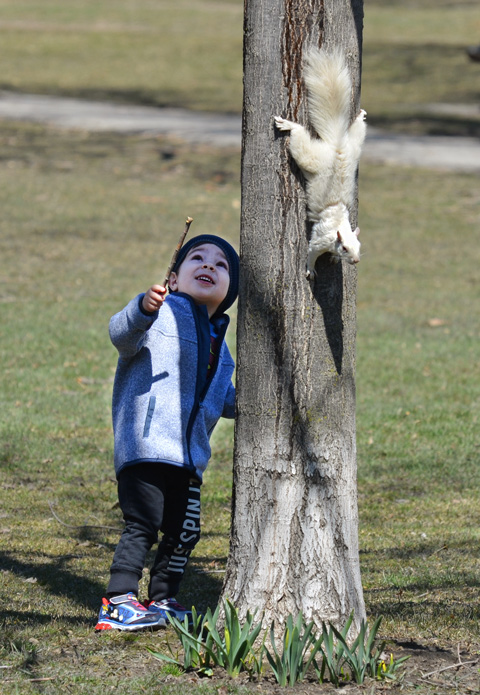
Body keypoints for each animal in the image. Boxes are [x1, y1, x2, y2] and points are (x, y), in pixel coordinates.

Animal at [274, 48, 367, 277]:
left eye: (359, 246)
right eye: (345, 248)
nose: (356, 260)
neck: (339, 225)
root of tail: (337, 148)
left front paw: (333, 259)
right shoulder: (320, 240)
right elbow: (311, 252)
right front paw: (310, 269)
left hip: (354, 148)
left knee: (357, 131)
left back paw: (360, 117)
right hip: (311, 157)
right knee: (299, 137)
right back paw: (289, 125)